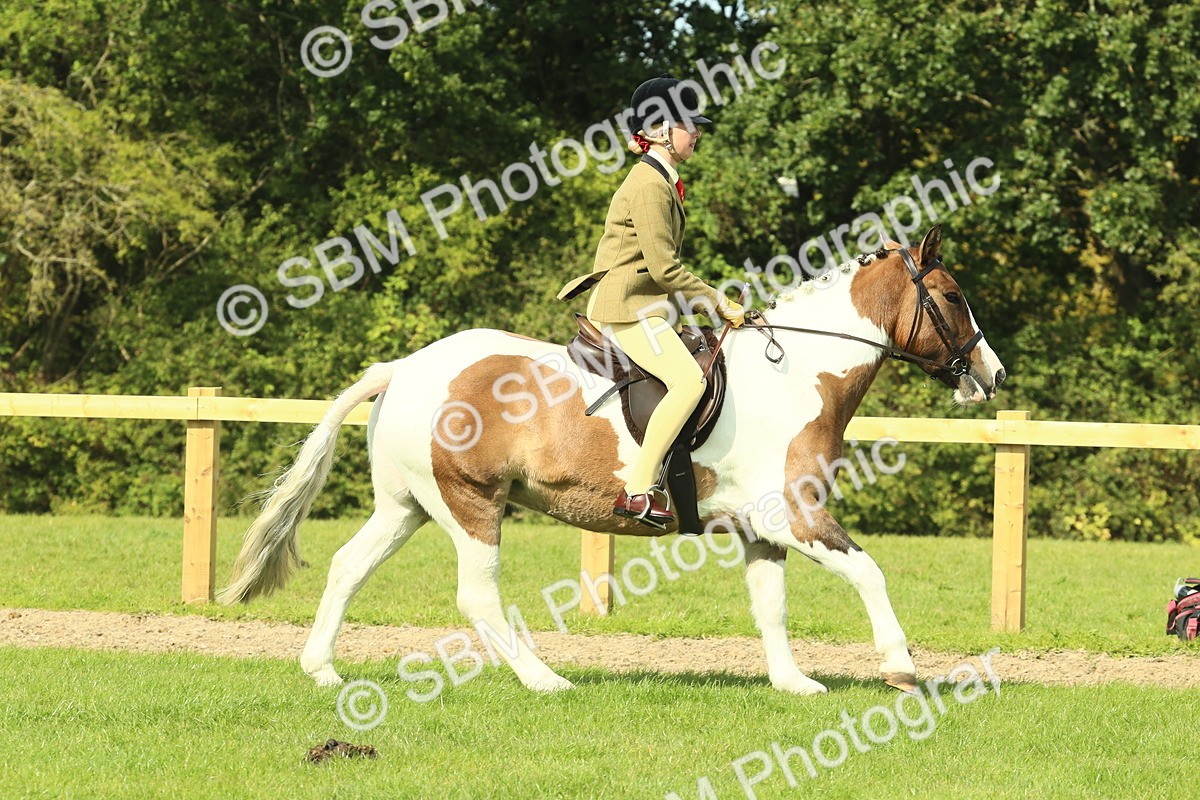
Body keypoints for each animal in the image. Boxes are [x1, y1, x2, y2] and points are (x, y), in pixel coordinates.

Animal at [219, 224, 1006, 696]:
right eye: (952, 297)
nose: (991, 375)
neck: (798, 373)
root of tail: (406, 368)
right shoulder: (794, 514)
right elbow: (869, 572)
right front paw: (900, 666)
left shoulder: (761, 527)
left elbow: (772, 606)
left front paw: (793, 683)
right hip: (472, 505)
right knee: (478, 596)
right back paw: (543, 680)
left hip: (407, 505)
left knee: (349, 566)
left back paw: (321, 669)